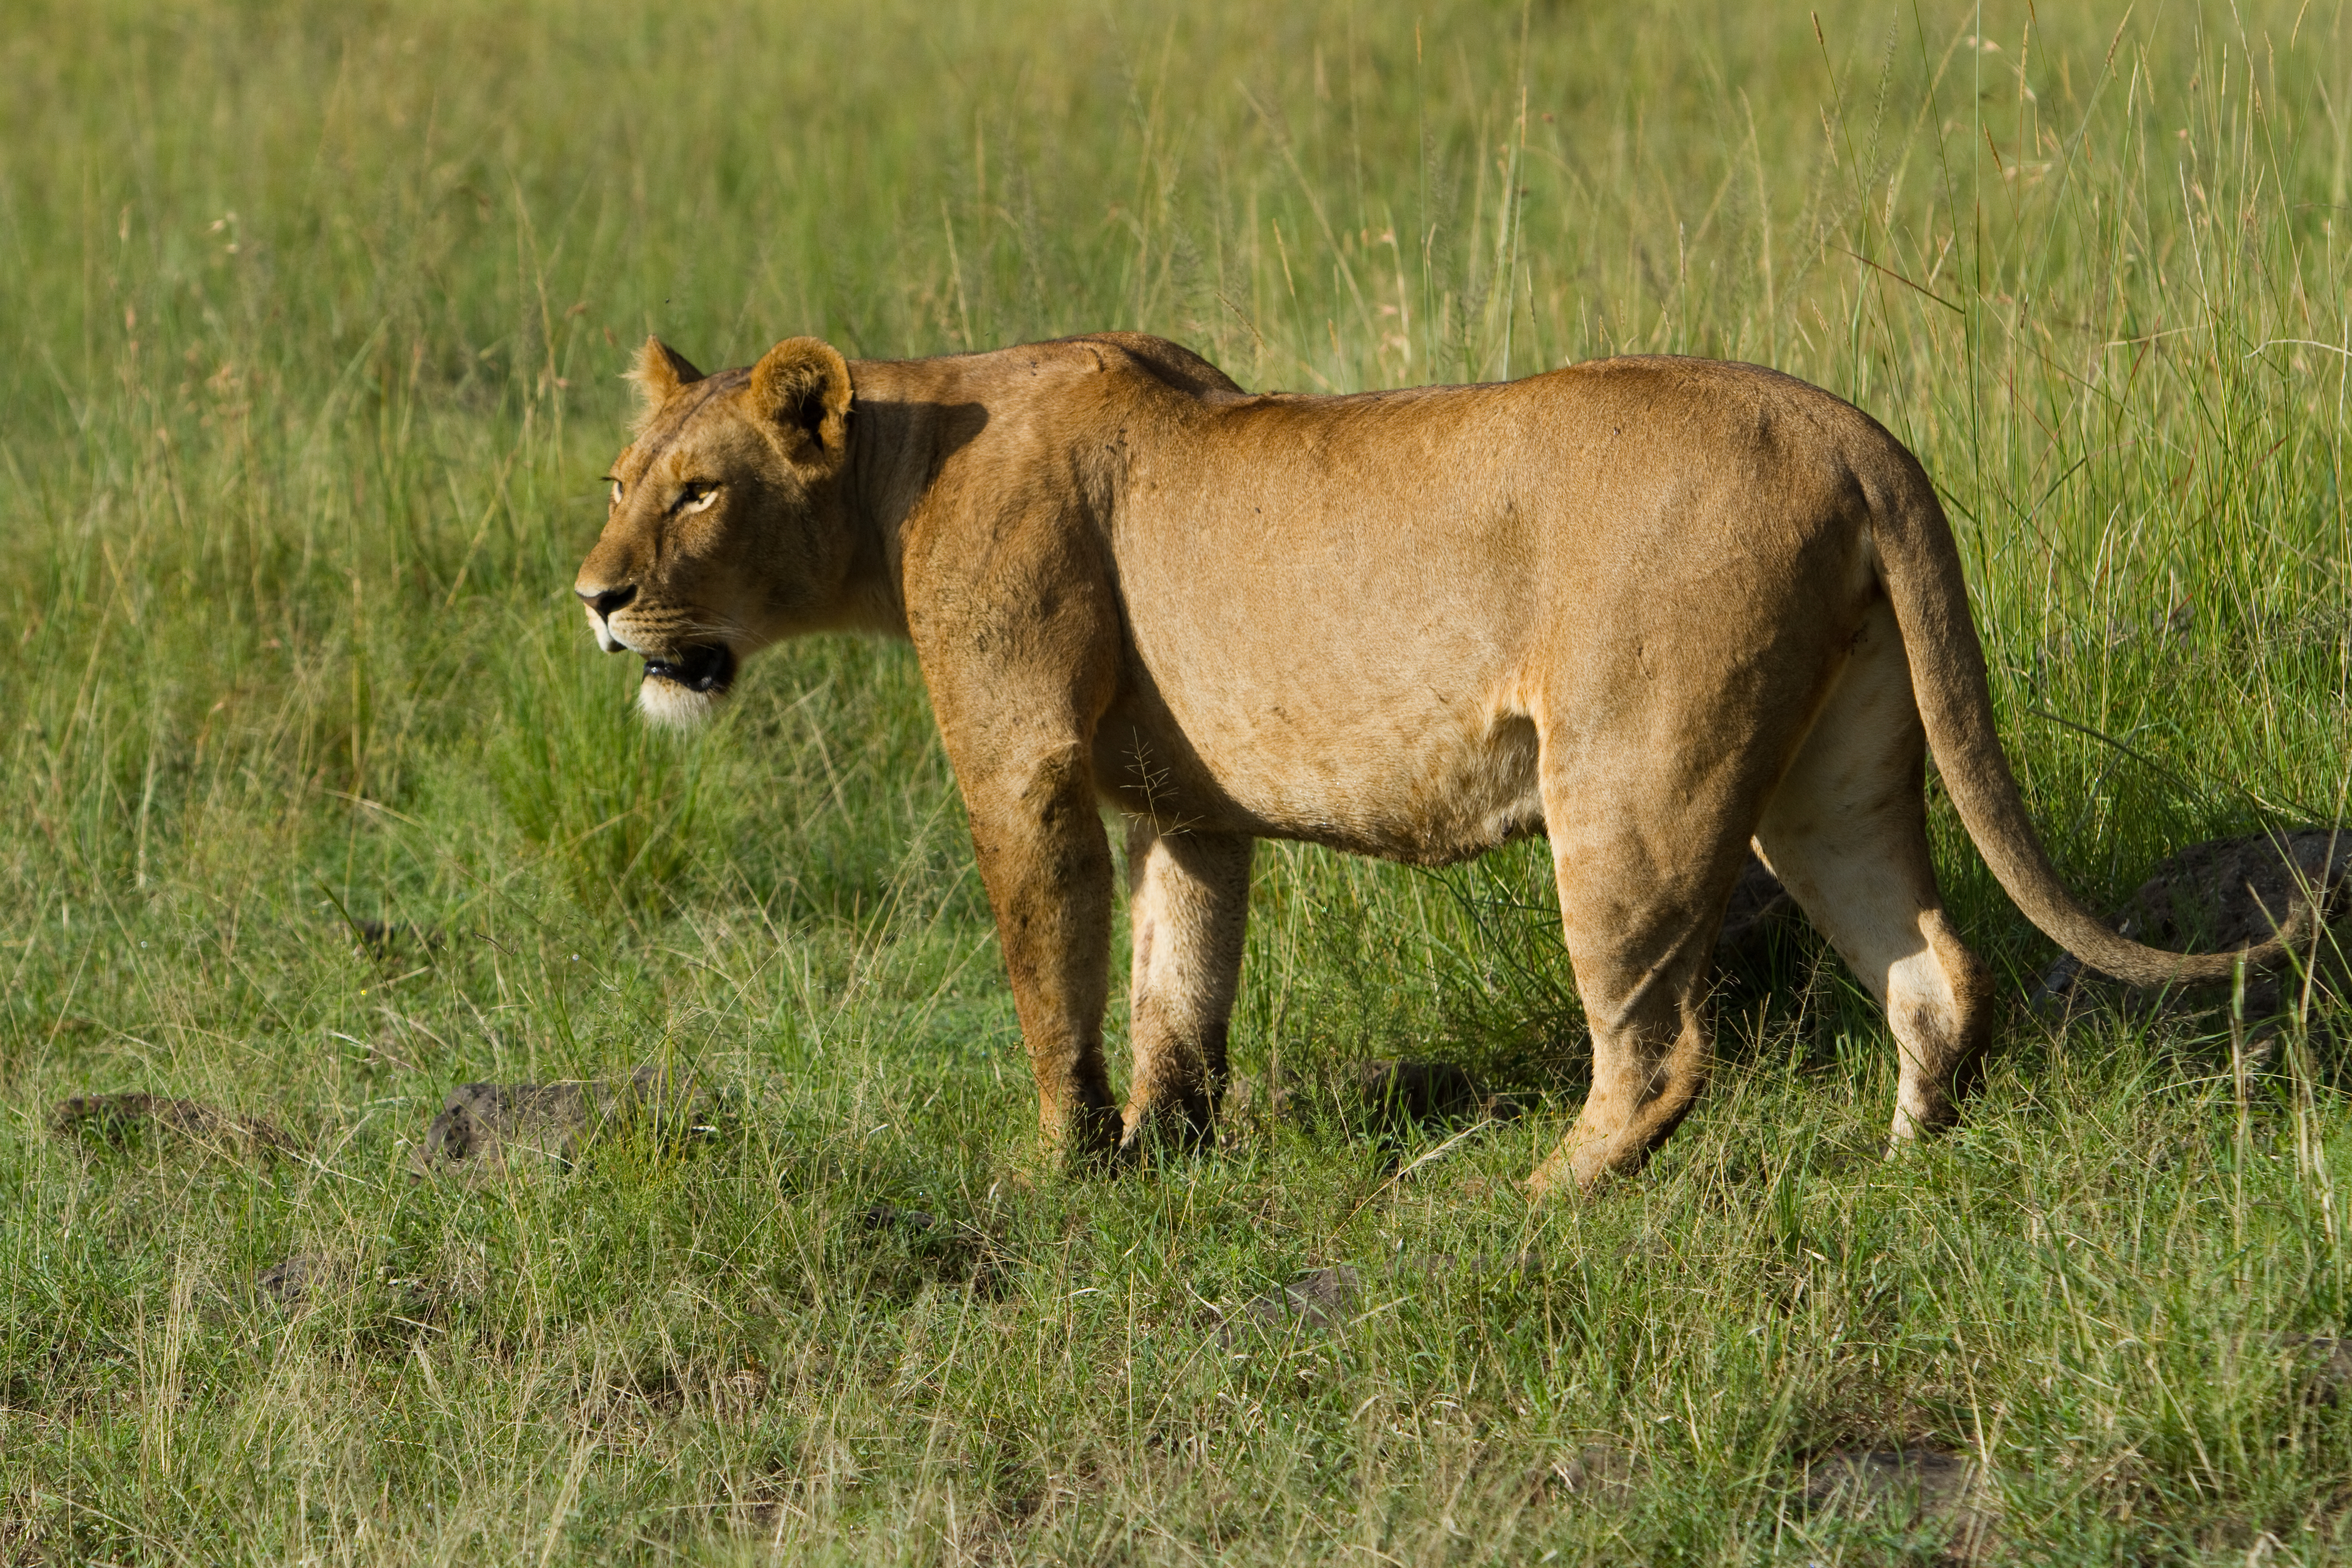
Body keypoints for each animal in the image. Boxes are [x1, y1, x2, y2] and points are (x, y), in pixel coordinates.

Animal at [575, 331, 2301, 1195]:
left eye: (699, 494)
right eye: (618, 482)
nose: (592, 597)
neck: (899, 464)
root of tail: (1847, 429)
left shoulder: (1026, 765)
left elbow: (1052, 977)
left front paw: (1060, 1172)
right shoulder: (1188, 810)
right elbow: (1176, 987)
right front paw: (1167, 1162)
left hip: (1633, 780)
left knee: (1662, 1047)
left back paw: (1532, 1205)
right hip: (1837, 769)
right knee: (1937, 967)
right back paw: (1899, 1170)